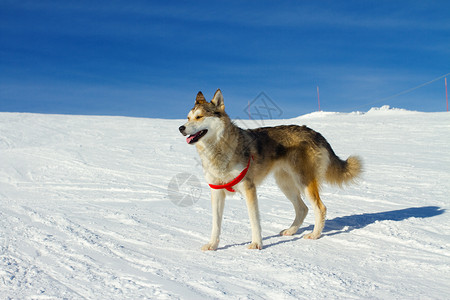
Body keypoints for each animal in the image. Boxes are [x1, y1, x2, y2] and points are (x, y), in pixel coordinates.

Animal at [179, 89, 362, 251]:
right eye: (188, 118)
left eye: (199, 117)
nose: (181, 128)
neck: (218, 150)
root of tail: (314, 132)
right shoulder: (217, 191)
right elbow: (216, 225)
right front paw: (213, 245)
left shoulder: (249, 189)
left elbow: (254, 221)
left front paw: (257, 244)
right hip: (285, 184)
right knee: (303, 208)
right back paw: (291, 231)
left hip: (304, 182)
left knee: (320, 208)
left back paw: (314, 235)